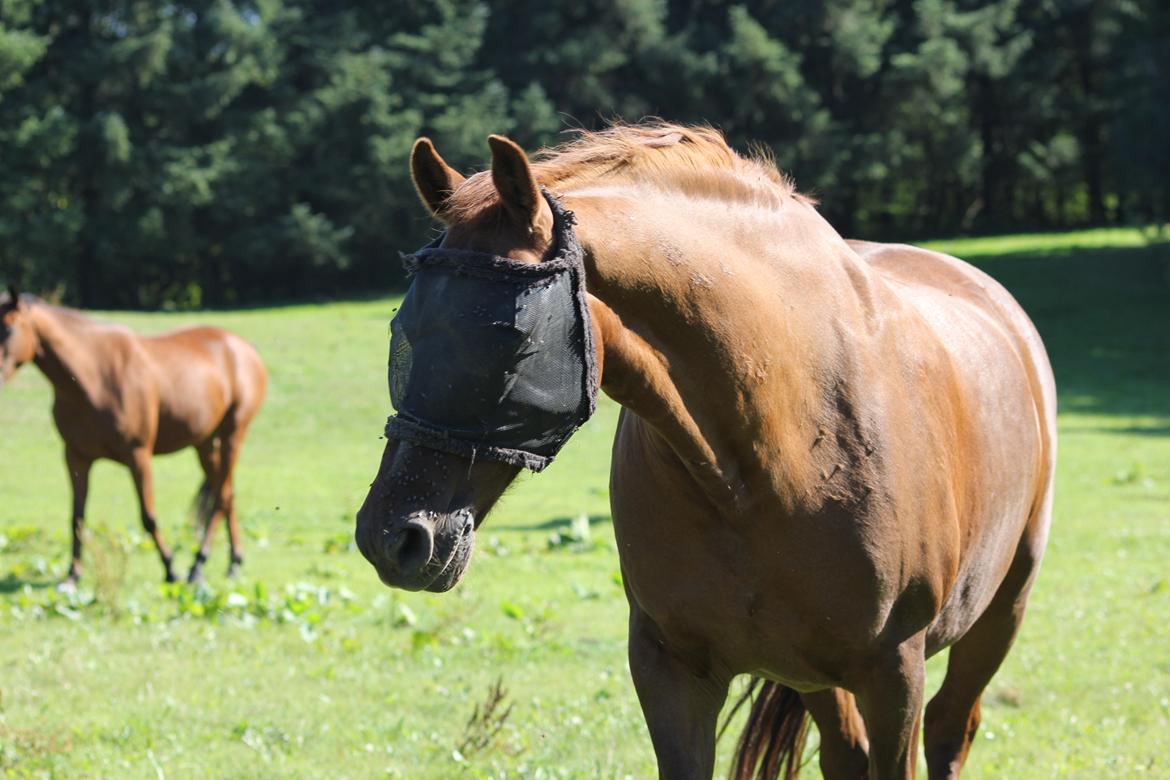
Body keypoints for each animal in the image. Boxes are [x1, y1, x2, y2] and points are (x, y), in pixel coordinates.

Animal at [1, 290, 266, 589]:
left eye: (8, 329)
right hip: (205, 443)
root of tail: (245, 348)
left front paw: (170, 568)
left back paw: (198, 565)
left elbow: (148, 517)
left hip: (233, 433)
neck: (92, 377)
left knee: (221, 498)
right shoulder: (75, 457)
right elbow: (77, 517)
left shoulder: (138, 456)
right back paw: (233, 562)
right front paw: (72, 575)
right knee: (227, 494)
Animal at [351, 125, 1057, 776]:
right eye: (402, 329)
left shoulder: (894, 675)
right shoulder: (672, 671)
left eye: (512, 335)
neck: (765, 463)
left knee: (950, 730)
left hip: (1000, 613)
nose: (392, 536)